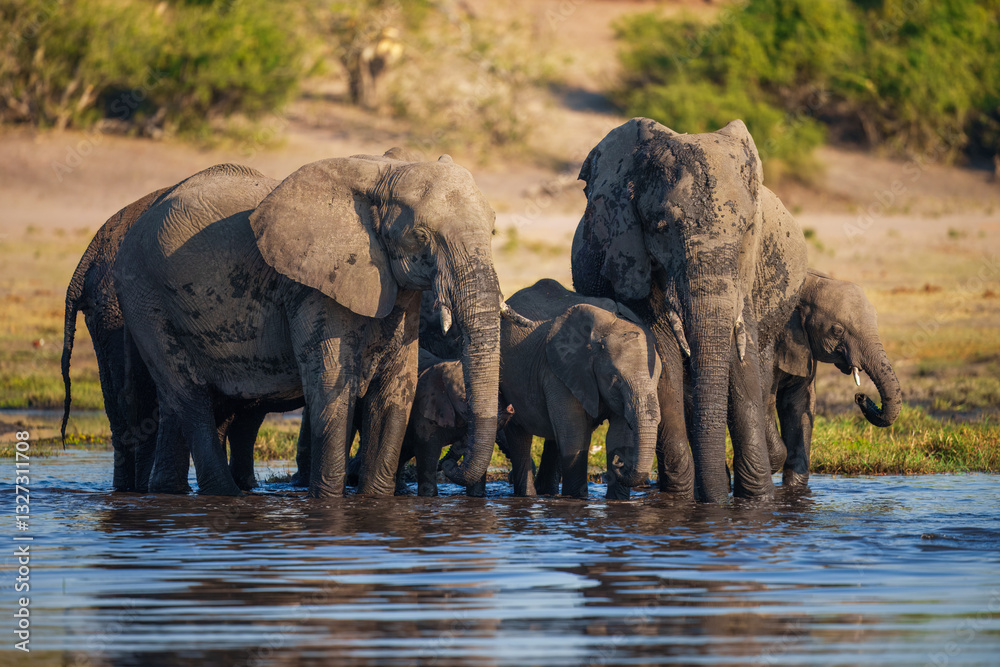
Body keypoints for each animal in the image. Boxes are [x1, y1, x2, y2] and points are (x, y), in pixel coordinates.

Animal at [114, 149, 521, 497]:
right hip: (143, 296)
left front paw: (375, 500)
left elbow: (395, 391)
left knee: (177, 403)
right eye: (420, 236)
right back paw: (226, 496)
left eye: (493, 231)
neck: (386, 175)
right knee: (190, 396)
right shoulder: (313, 285)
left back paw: (167, 491)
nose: (454, 464)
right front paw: (327, 502)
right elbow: (329, 386)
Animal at [497, 279, 661, 500]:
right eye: (616, 381)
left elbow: (617, 436)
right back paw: (528, 497)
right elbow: (574, 434)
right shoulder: (559, 371)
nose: (619, 463)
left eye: (658, 379)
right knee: (520, 437)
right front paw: (577, 499)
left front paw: (616, 501)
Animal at [572, 117, 809, 502]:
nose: (716, 501)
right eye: (662, 228)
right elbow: (664, 359)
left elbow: (743, 363)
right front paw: (683, 500)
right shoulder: (633, 260)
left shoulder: (746, 275)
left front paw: (756, 499)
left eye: (746, 229)